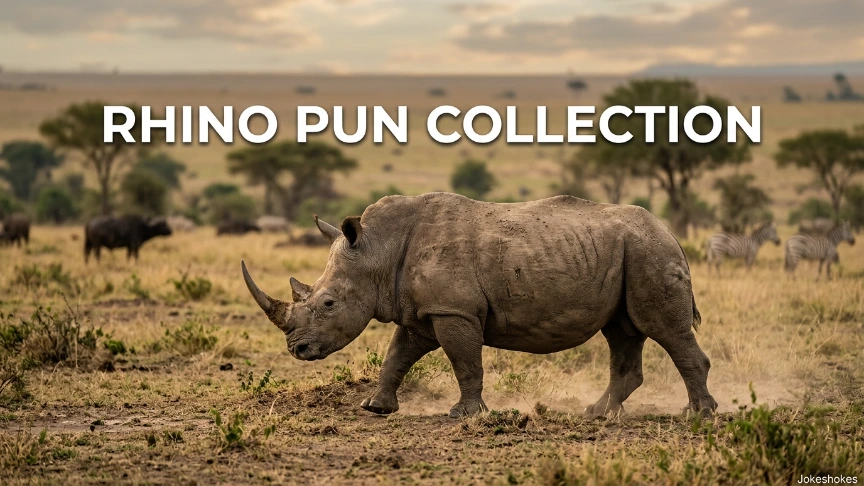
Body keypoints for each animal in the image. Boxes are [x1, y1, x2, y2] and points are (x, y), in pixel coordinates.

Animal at [241, 193, 718, 418]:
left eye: (328, 303)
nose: (297, 350)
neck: (378, 250)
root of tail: (671, 232)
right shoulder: (424, 311)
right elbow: (397, 355)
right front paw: (375, 408)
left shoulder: (453, 310)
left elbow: (464, 361)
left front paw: (464, 414)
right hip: (630, 252)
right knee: (622, 332)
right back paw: (598, 413)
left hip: (648, 251)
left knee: (664, 330)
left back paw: (698, 415)